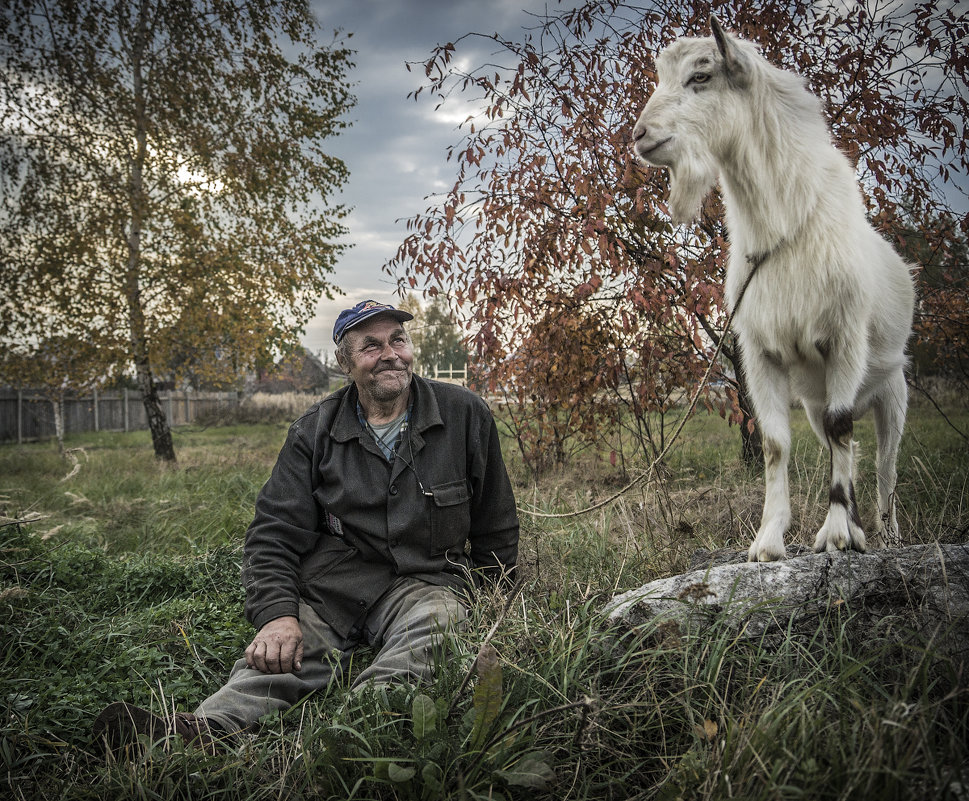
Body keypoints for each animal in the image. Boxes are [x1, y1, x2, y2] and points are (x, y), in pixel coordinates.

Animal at [632, 15, 912, 560]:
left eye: (701, 76)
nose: (640, 135)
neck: (780, 226)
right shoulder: (760, 352)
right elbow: (777, 444)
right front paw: (768, 542)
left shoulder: (844, 340)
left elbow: (843, 428)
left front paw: (835, 534)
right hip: (815, 399)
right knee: (846, 448)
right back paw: (861, 531)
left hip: (892, 391)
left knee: (883, 462)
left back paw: (884, 534)